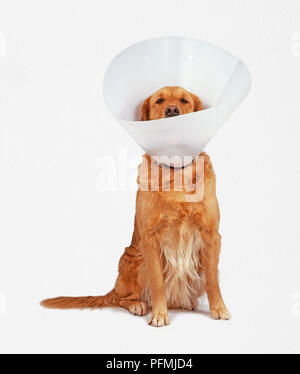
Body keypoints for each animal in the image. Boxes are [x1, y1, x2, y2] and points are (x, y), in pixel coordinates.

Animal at [41, 86, 230, 326]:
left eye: (184, 100)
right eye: (159, 100)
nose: (172, 110)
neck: (174, 170)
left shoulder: (210, 234)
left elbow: (212, 280)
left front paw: (219, 308)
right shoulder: (150, 238)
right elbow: (158, 282)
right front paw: (159, 315)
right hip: (134, 259)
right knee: (120, 298)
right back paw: (137, 305)